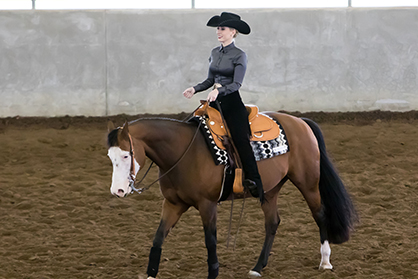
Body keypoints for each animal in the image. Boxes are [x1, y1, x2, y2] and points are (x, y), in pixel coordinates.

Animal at [107, 110, 356, 278]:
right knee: (272, 222)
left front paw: (213, 272)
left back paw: (325, 262)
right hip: (270, 190)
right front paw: (151, 273)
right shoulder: (173, 204)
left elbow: (210, 240)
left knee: (320, 214)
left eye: (127, 155)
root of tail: (301, 122)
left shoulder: (207, 204)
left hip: (308, 182)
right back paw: (258, 267)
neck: (183, 151)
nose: (118, 191)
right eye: (110, 157)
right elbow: (158, 237)